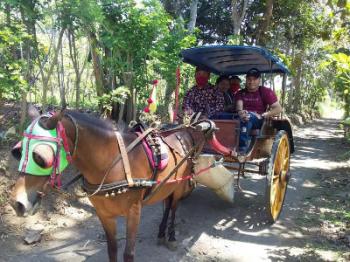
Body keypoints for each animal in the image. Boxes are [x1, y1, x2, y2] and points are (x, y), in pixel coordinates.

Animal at [8, 109, 211, 262]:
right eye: (18, 152)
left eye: (40, 158)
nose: (17, 203)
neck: (114, 163)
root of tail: (187, 130)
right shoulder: (104, 214)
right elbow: (112, 249)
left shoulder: (134, 211)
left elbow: (128, 254)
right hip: (167, 185)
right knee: (167, 204)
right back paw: (161, 232)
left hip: (179, 185)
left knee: (174, 207)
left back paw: (171, 235)